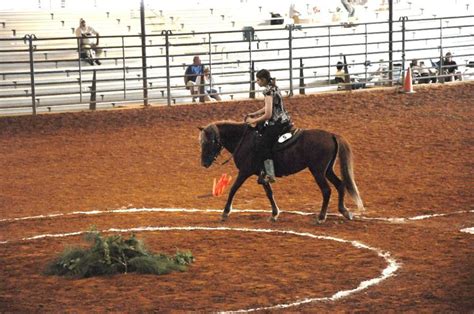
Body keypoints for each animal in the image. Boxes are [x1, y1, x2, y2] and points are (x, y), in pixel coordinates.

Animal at [198, 120, 364, 223]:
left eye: (209, 142)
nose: (204, 163)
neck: (244, 140)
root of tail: (332, 135)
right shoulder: (261, 175)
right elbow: (269, 193)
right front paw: (274, 214)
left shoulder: (245, 172)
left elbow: (233, 189)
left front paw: (225, 212)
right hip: (327, 170)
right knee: (340, 185)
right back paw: (345, 211)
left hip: (318, 171)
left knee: (326, 190)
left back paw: (321, 217)